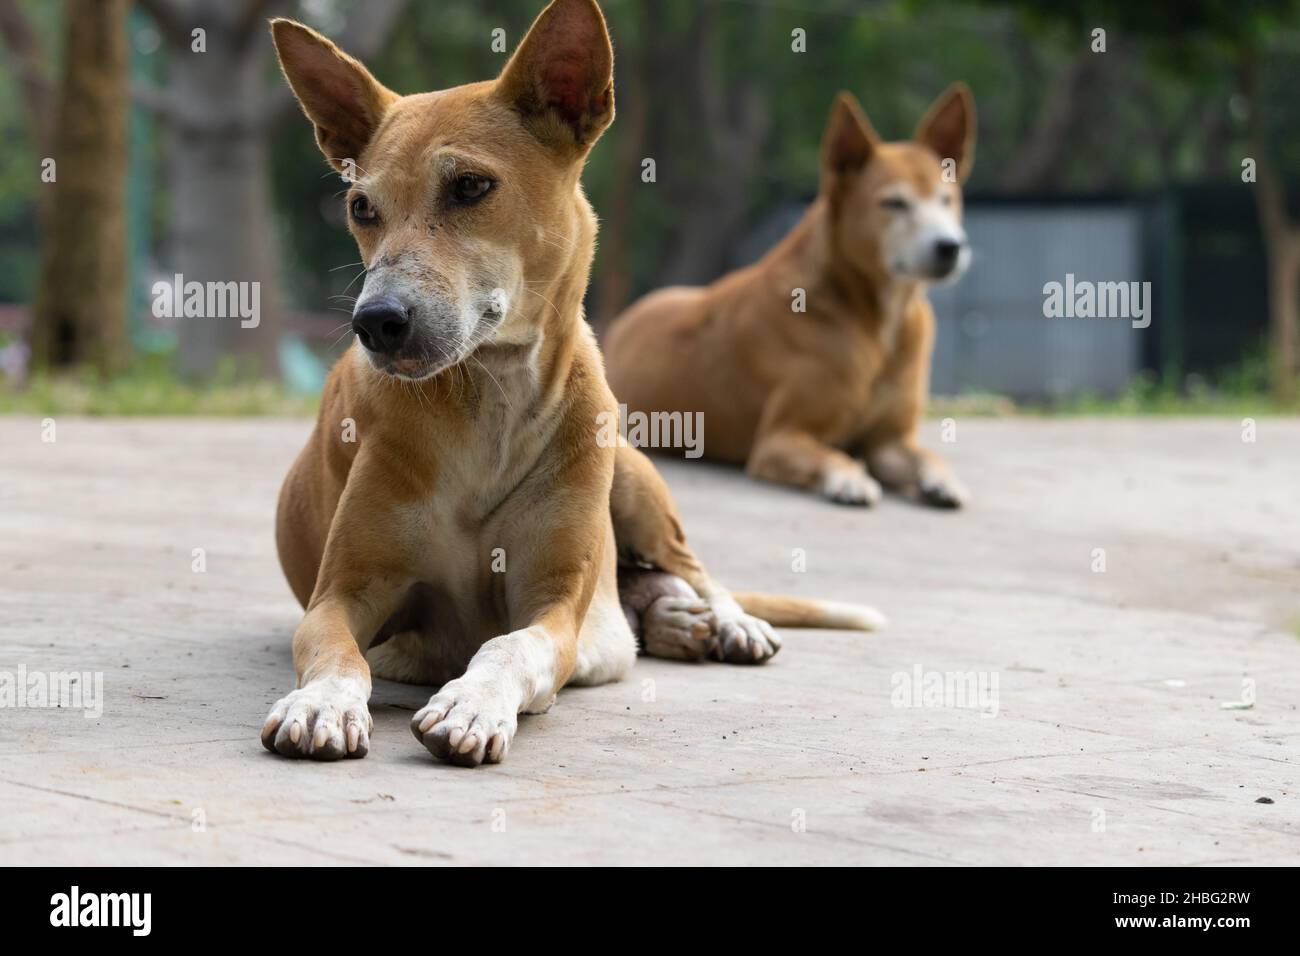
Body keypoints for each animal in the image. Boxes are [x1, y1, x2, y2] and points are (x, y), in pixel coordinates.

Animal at [261, 0, 883, 764]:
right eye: (361, 208)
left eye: (470, 186)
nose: (375, 321)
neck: (488, 398)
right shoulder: (339, 597)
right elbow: (337, 650)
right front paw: (323, 702)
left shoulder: (553, 605)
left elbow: (511, 645)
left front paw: (471, 703)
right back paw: (670, 619)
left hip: (634, 476)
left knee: (692, 566)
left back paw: (722, 620)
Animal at [605, 87, 977, 512]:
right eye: (894, 203)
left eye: (946, 199)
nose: (950, 246)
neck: (877, 320)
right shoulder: (780, 438)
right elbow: (834, 456)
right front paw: (850, 478)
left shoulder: (890, 442)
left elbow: (930, 456)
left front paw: (944, 481)